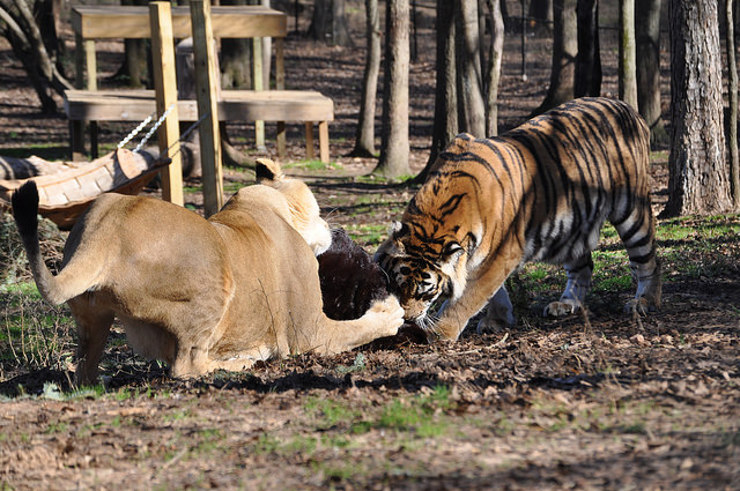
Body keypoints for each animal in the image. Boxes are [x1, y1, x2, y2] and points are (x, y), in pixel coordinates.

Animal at [378, 96, 660, 342]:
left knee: (648, 260)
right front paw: (499, 320)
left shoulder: (503, 251)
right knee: (583, 266)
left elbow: (470, 296)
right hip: (571, 227)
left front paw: (441, 331)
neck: (437, 217)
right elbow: (493, 293)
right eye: (399, 286)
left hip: (632, 211)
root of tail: (628, 108)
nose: (407, 319)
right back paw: (565, 304)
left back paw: (644, 302)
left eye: (426, 292)